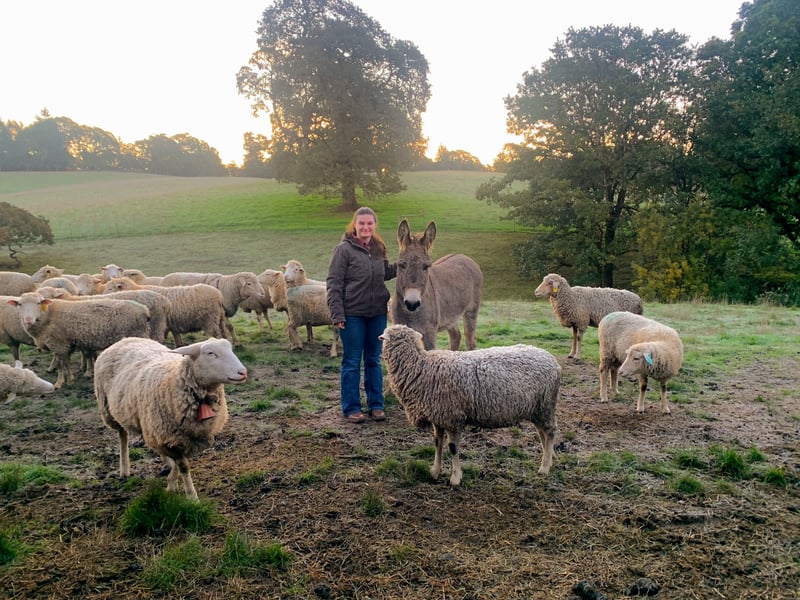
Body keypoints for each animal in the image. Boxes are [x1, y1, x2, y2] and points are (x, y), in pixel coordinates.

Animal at [7, 292, 151, 388]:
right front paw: (70, 379)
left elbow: (61, 364)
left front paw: (59, 382)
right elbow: (66, 362)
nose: (28, 320)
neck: (47, 315)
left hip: (137, 334)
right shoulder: (64, 343)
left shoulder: (58, 343)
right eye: (20, 304)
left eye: (38, 303)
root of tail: (144, 310)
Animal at [94, 336, 247, 500]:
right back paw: (124, 469)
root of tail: (125, 339)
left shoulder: (185, 436)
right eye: (210, 353)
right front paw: (191, 497)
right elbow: (184, 466)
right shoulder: (172, 436)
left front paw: (171, 482)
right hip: (110, 410)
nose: (243, 372)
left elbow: (180, 463)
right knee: (123, 435)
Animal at [380, 324, 561, 487]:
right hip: (536, 409)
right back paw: (549, 459)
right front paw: (435, 472)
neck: (419, 366)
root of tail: (552, 360)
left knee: (550, 432)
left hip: (546, 405)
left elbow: (453, 448)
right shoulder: (438, 417)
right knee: (542, 433)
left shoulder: (452, 417)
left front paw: (455, 478)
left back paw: (544, 467)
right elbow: (437, 443)